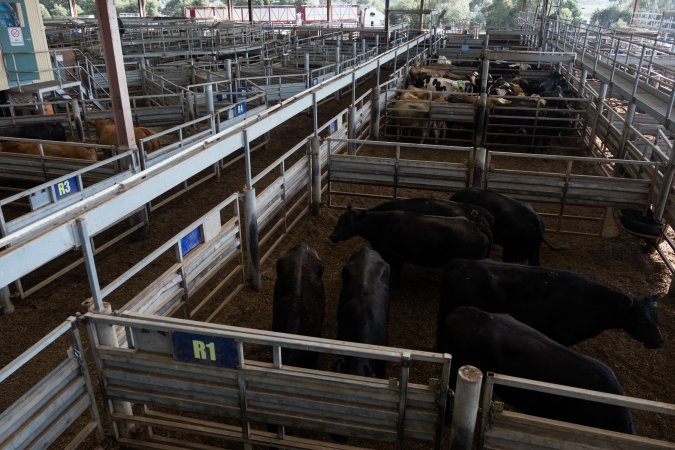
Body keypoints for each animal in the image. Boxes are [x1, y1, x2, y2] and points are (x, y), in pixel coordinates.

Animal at [328, 207, 492, 284]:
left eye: (348, 223)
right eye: (339, 220)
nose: (333, 236)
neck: (381, 225)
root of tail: (476, 227)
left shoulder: (395, 257)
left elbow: (396, 272)